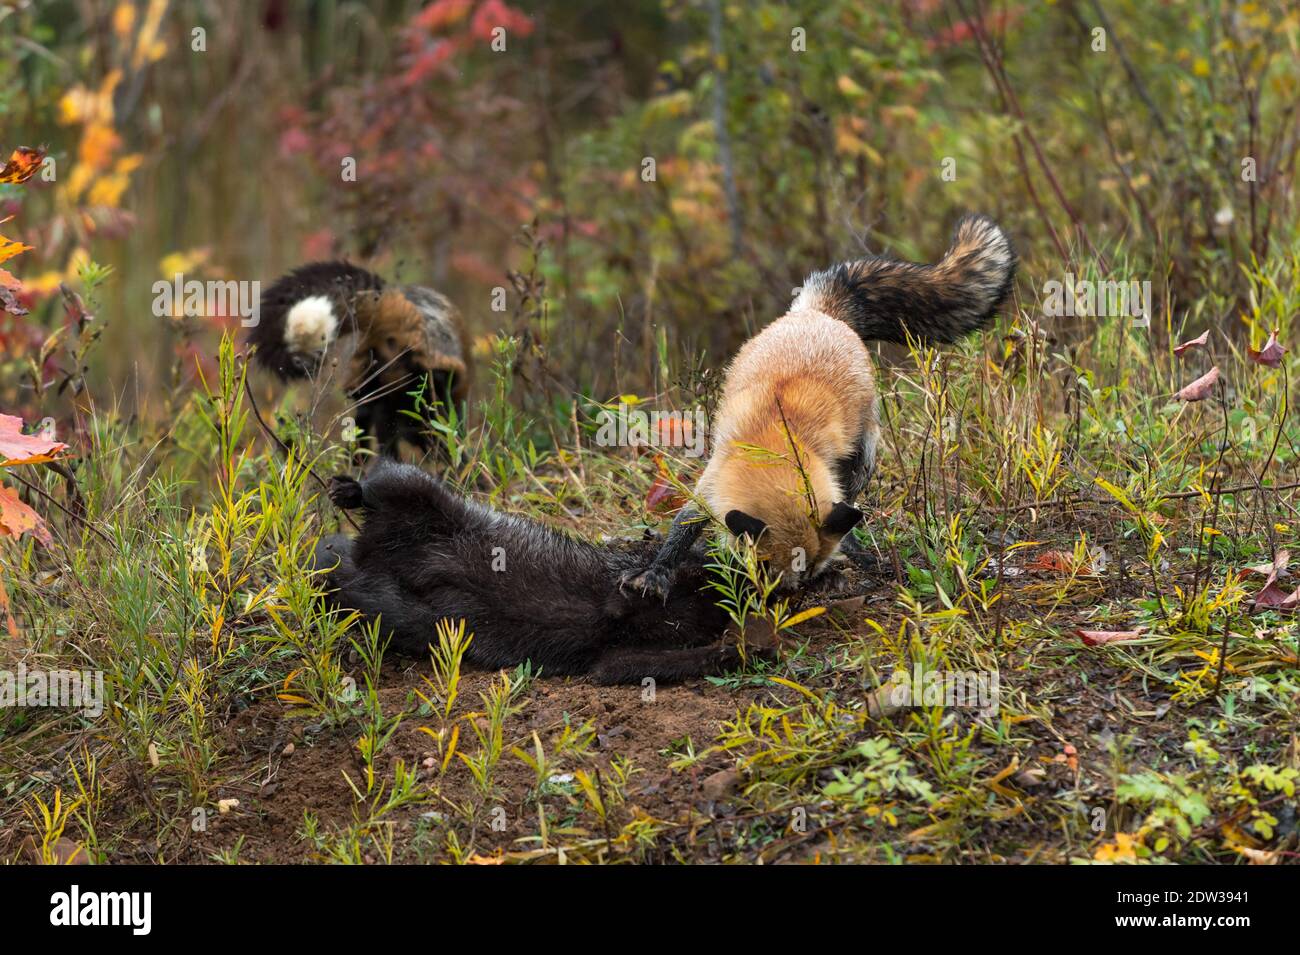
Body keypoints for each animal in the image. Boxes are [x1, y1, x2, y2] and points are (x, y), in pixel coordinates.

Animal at [314, 459, 749, 684]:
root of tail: (367, 553)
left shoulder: (620, 652)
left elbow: (621, 664)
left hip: (400, 613)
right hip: (420, 496)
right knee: (386, 480)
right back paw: (347, 490)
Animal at [622, 214, 1016, 597]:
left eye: (808, 570)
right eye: (765, 568)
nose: (788, 597)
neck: (773, 438)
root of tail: (819, 313)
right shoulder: (713, 479)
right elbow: (683, 526)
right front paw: (657, 572)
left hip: (863, 458)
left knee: (852, 502)